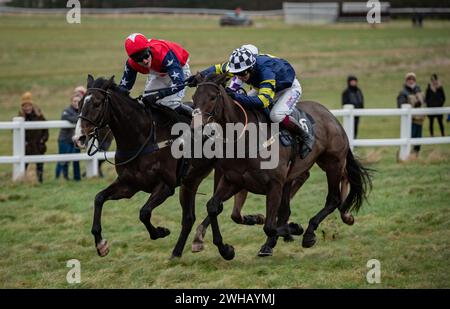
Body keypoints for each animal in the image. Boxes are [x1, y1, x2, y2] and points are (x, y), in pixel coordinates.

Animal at [190, 73, 372, 258]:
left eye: (213, 97)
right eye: (194, 98)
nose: (196, 127)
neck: (245, 138)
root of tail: (331, 116)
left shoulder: (274, 184)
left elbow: (270, 227)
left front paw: (294, 228)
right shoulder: (234, 180)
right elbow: (214, 207)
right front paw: (225, 249)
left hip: (333, 163)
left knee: (333, 198)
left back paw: (310, 232)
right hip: (297, 174)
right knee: (289, 206)